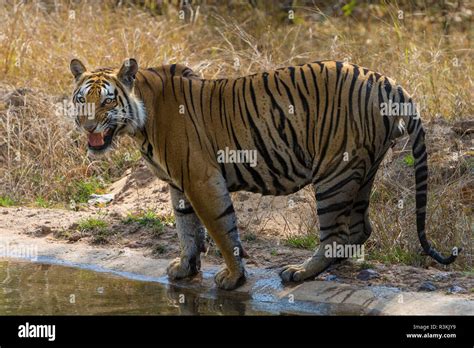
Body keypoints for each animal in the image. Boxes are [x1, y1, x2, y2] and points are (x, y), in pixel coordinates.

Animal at [69, 57, 460, 290]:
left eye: (107, 100)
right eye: (81, 99)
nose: (86, 125)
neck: (140, 120)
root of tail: (387, 81)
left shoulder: (200, 179)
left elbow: (221, 229)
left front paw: (232, 277)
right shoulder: (178, 185)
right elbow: (187, 230)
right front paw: (185, 268)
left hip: (334, 173)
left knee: (335, 234)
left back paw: (299, 272)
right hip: (363, 170)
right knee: (360, 228)